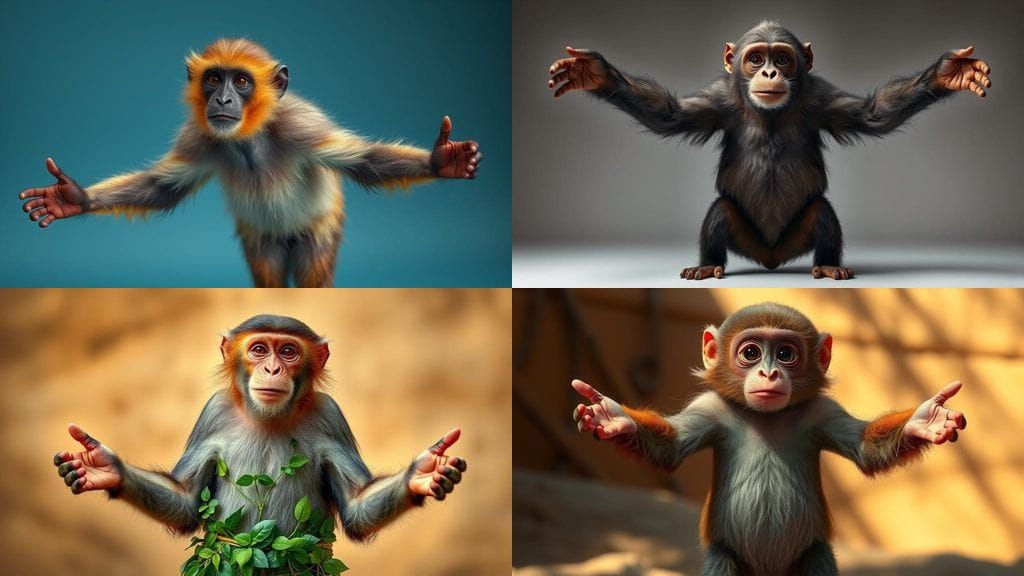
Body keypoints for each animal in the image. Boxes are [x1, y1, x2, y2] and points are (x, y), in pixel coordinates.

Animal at [19, 39, 483, 287]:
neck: (248, 140)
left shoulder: (301, 125)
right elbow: (159, 188)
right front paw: (71, 199)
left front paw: (443, 160)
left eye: (241, 81)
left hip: (317, 230)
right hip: (263, 241)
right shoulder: (199, 136)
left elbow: (366, 160)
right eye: (213, 79)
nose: (223, 100)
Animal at [53, 314, 468, 543]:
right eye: (258, 350)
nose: (272, 368)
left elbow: (356, 507)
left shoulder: (330, 416)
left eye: (288, 351)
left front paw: (424, 473)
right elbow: (185, 501)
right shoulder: (213, 411)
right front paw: (105, 468)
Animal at [548, 21, 992, 280]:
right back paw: (708, 264)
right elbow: (668, 114)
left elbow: (875, 113)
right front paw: (593, 73)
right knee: (720, 211)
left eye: (782, 57)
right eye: (756, 57)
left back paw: (828, 264)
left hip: (796, 240)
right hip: (746, 239)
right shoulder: (717, 101)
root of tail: (772, 259)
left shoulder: (822, 99)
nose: (770, 71)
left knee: (821, 212)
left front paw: (950, 73)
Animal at [570, 302, 967, 576]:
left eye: (786, 354)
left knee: (818, 557)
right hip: (728, 557)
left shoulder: (821, 412)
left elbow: (865, 450)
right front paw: (611, 416)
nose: (769, 373)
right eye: (751, 353)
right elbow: (671, 449)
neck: (768, 418)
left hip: (811, 555)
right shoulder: (711, 409)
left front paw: (926, 419)